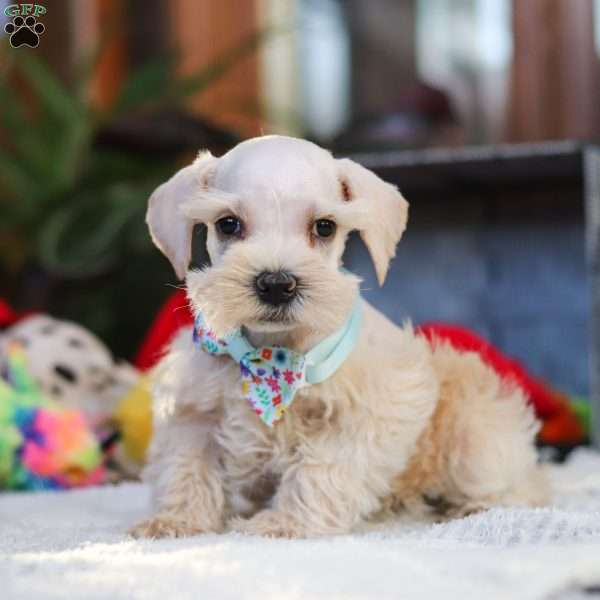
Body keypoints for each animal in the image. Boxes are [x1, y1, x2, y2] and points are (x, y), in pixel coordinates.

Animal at [131, 136, 548, 540]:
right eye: (228, 224)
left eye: (325, 227)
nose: (277, 284)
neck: (271, 354)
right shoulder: (193, 414)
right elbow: (187, 468)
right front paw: (175, 520)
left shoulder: (364, 418)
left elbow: (320, 470)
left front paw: (286, 523)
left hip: (473, 430)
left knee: (515, 486)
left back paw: (475, 507)